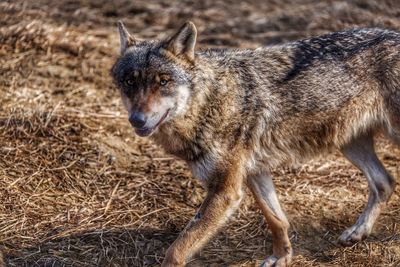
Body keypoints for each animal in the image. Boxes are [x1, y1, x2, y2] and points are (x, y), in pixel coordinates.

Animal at [111, 21, 400, 267]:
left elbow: (177, 249)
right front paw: (282, 257)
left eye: (163, 81)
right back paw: (357, 232)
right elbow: (277, 220)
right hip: (350, 144)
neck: (211, 102)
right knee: (385, 182)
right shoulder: (254, 172)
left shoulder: (225, 190)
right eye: (129, 82)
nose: (137, 119)